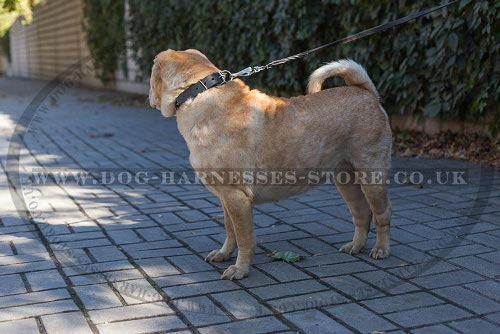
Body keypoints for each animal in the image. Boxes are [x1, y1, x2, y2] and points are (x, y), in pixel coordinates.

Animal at [148, 49, 390, 280]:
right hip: (345, 178)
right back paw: (355, 246)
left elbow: (244, 239)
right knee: (362, 214)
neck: (198, 93)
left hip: (371, 176)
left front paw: (239, 270)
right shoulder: (226, 196)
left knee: (382, 215)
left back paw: (380, 250)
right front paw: (224, 253)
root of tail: (365, 91)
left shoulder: (237, 196)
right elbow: (229, 229)